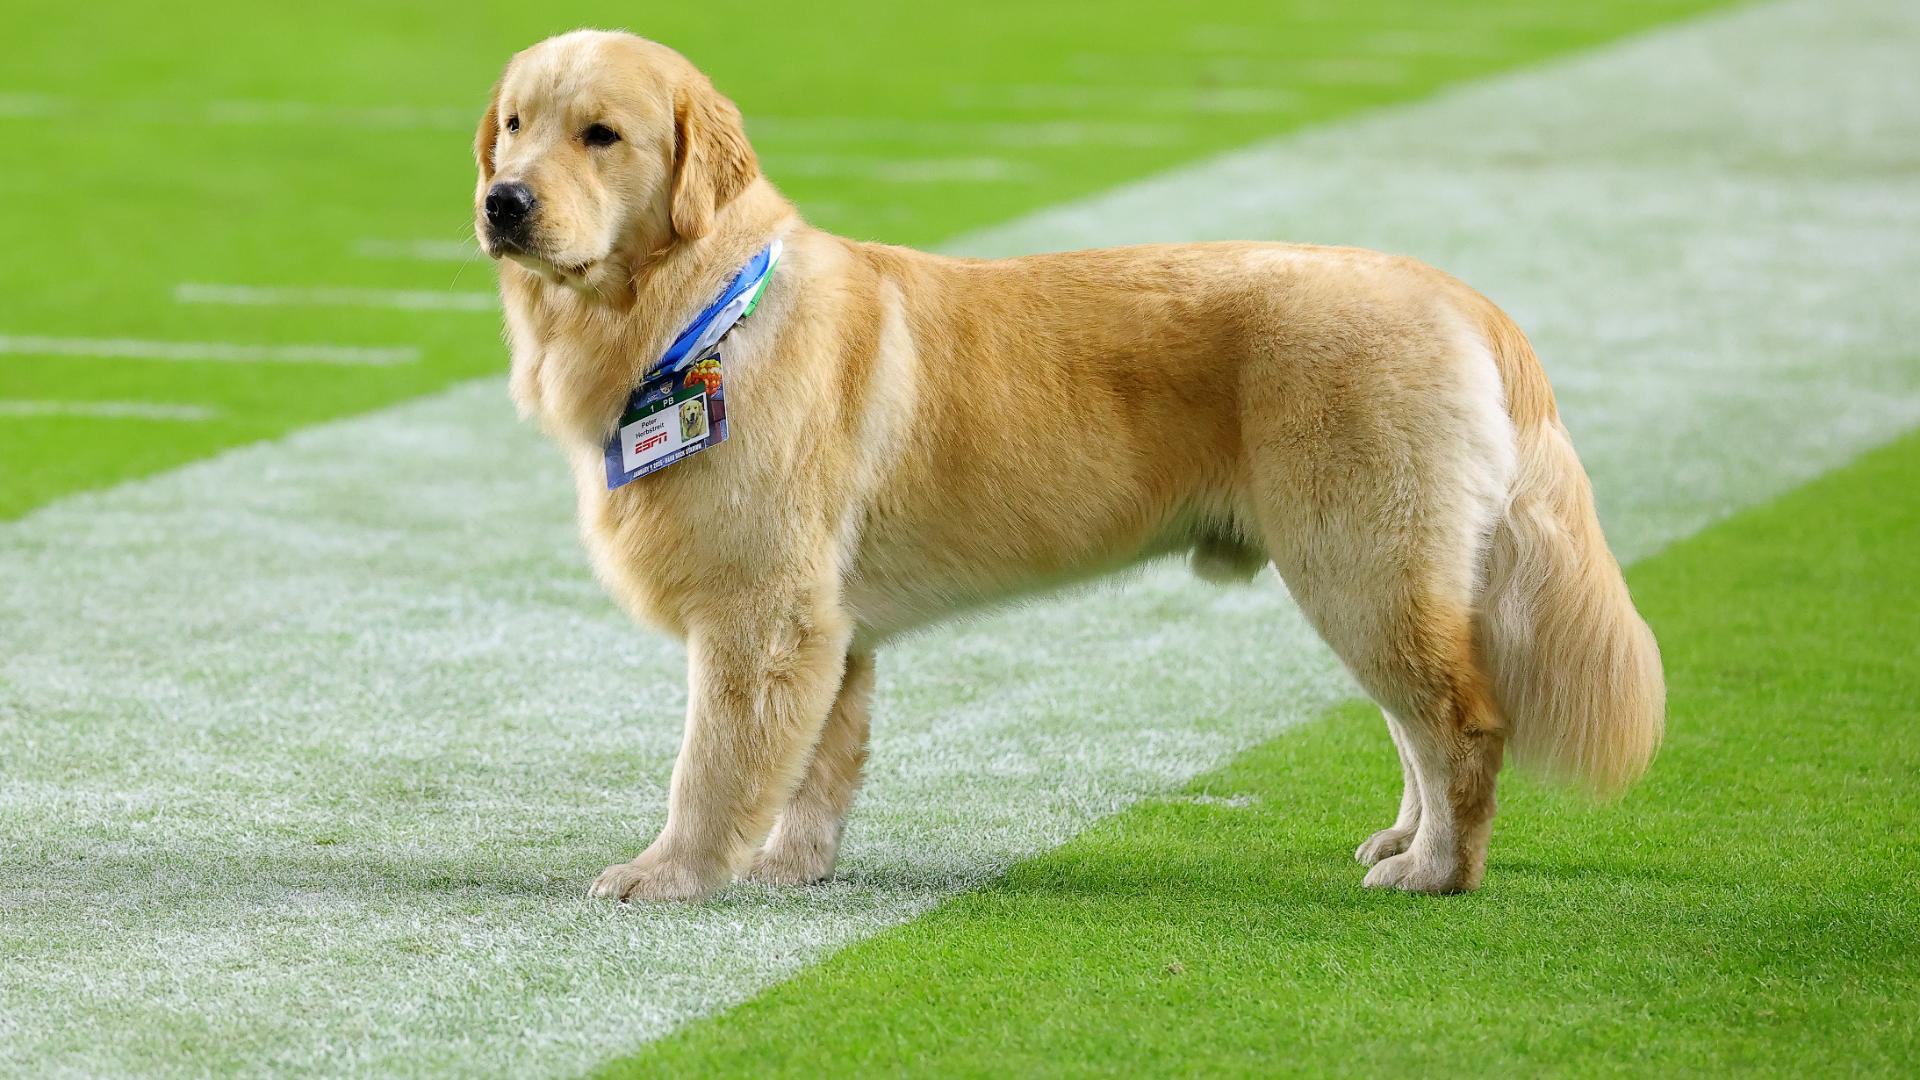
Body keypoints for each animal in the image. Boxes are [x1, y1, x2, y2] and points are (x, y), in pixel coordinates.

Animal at [472, 29, 1658, 895]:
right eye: (516, 126)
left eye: (601, 135)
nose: (503, 201)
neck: (695, 314)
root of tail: (1455, 293)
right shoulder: (829, 628)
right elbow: (818, 768)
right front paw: (788, 868)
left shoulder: (760, 614)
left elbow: (713, 767)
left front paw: (670, 875)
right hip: (1375, 572)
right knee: (1417, 726)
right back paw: (1402, 843)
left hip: (1360, 562)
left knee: (1461, 725)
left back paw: (1437, 872)